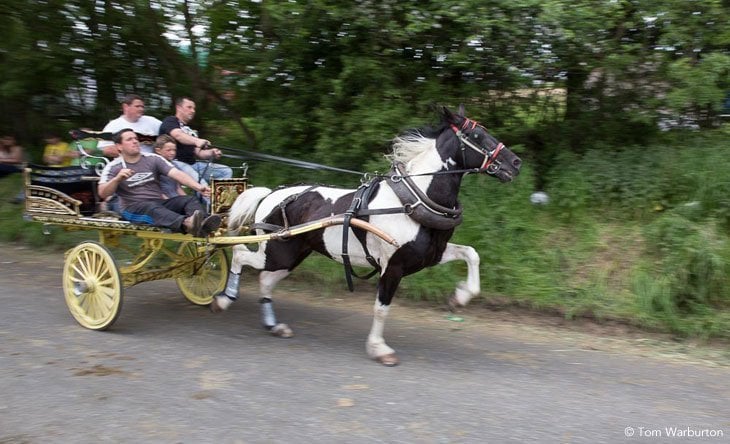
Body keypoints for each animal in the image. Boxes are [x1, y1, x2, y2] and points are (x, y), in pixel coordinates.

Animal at [208, 106, 520, 366]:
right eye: (477, 134)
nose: (515, 163)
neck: (414, 201)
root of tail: (271, 194)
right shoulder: (393, 267)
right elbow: (382, 308)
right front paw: (379, 348)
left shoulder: (431, 254)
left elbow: (471, 254)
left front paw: (460, 297)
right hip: (275, 251)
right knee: (239, 255)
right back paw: (224, 299)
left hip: (291, 255)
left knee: (265, 280)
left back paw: (274, 325)